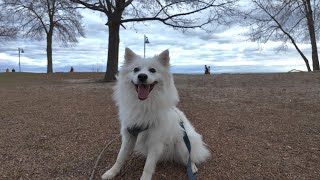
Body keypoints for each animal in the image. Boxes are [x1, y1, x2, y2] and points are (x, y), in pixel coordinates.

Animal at [102, 48, 210, 180]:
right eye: (136, 69)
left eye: (152, 70)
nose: (142, 76)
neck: (144, 104)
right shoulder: (128, 136)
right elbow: (120, 157)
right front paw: (111, 172)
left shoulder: (155, 141)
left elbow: (148, 166)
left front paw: (144, 178)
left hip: (182, 142)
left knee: (188, 157)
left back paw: (192, 167)